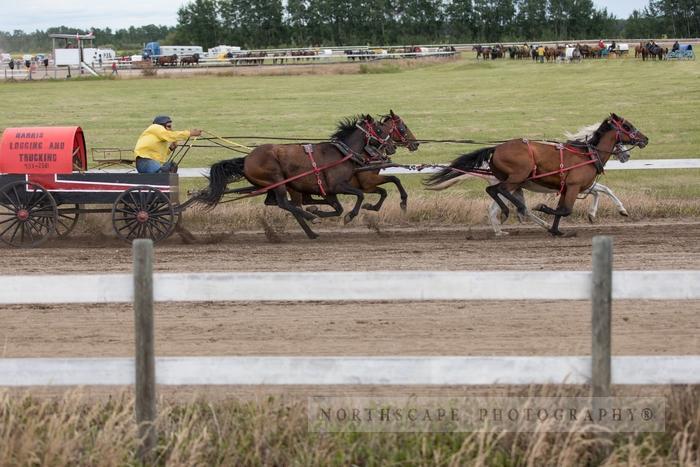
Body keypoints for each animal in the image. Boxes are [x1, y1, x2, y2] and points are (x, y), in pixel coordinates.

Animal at [198, 115, 394, 239]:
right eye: (378, 129)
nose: (391, 146)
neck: (342, 153)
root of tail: (246, 159)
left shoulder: (329, 191)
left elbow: (338, 207)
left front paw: (320, 211)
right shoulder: (337, 185)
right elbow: (359, 195)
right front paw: (349, 215)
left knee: (280, 203)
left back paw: (311, 229)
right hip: (276, 180)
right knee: (284, 203)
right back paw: (310, 218)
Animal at [426, 114, 652, 238]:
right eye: (627, 126)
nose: (645, 139)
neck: (586, 154)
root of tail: (495, 149)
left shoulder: (571, 187)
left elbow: (576, 203)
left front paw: (560, 229)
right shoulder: (574, 186)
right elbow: (566, 209)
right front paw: (543, 209)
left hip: (514, 182)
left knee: (494, 197)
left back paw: (505, 223)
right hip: (516, 177)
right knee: (498, 191)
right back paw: (515, 212)